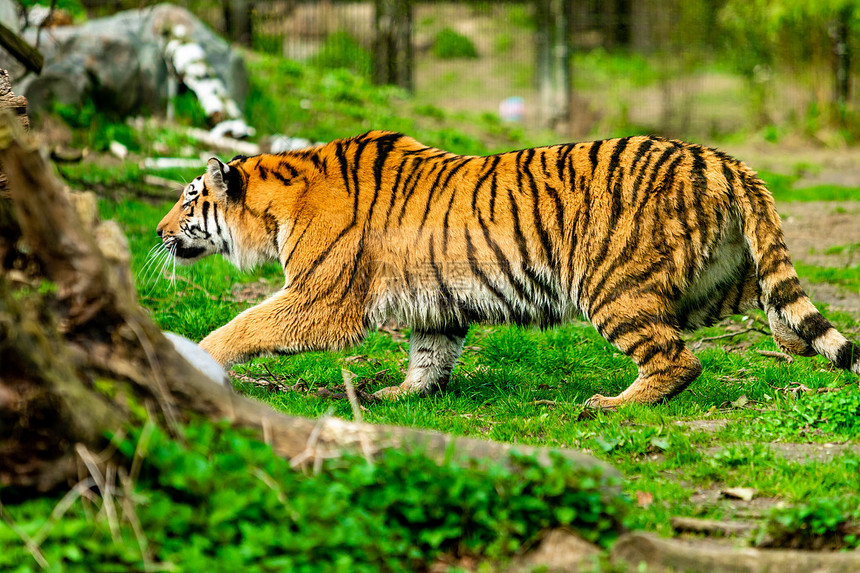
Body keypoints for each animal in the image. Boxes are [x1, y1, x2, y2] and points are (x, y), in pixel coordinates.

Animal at [156, 131, 860, 406]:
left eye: (189, 200)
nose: (159, 233)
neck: (277, 204)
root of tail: (722, 160)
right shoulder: (433, 302)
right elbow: (431, 355)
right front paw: (403, 394)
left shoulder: (320, 297)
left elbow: (246, 323)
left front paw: (199, 356)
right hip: (726, 273)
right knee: (784, 303)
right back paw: (793, 349)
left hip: (613, 287)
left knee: (677, 358)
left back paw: (613, 405)